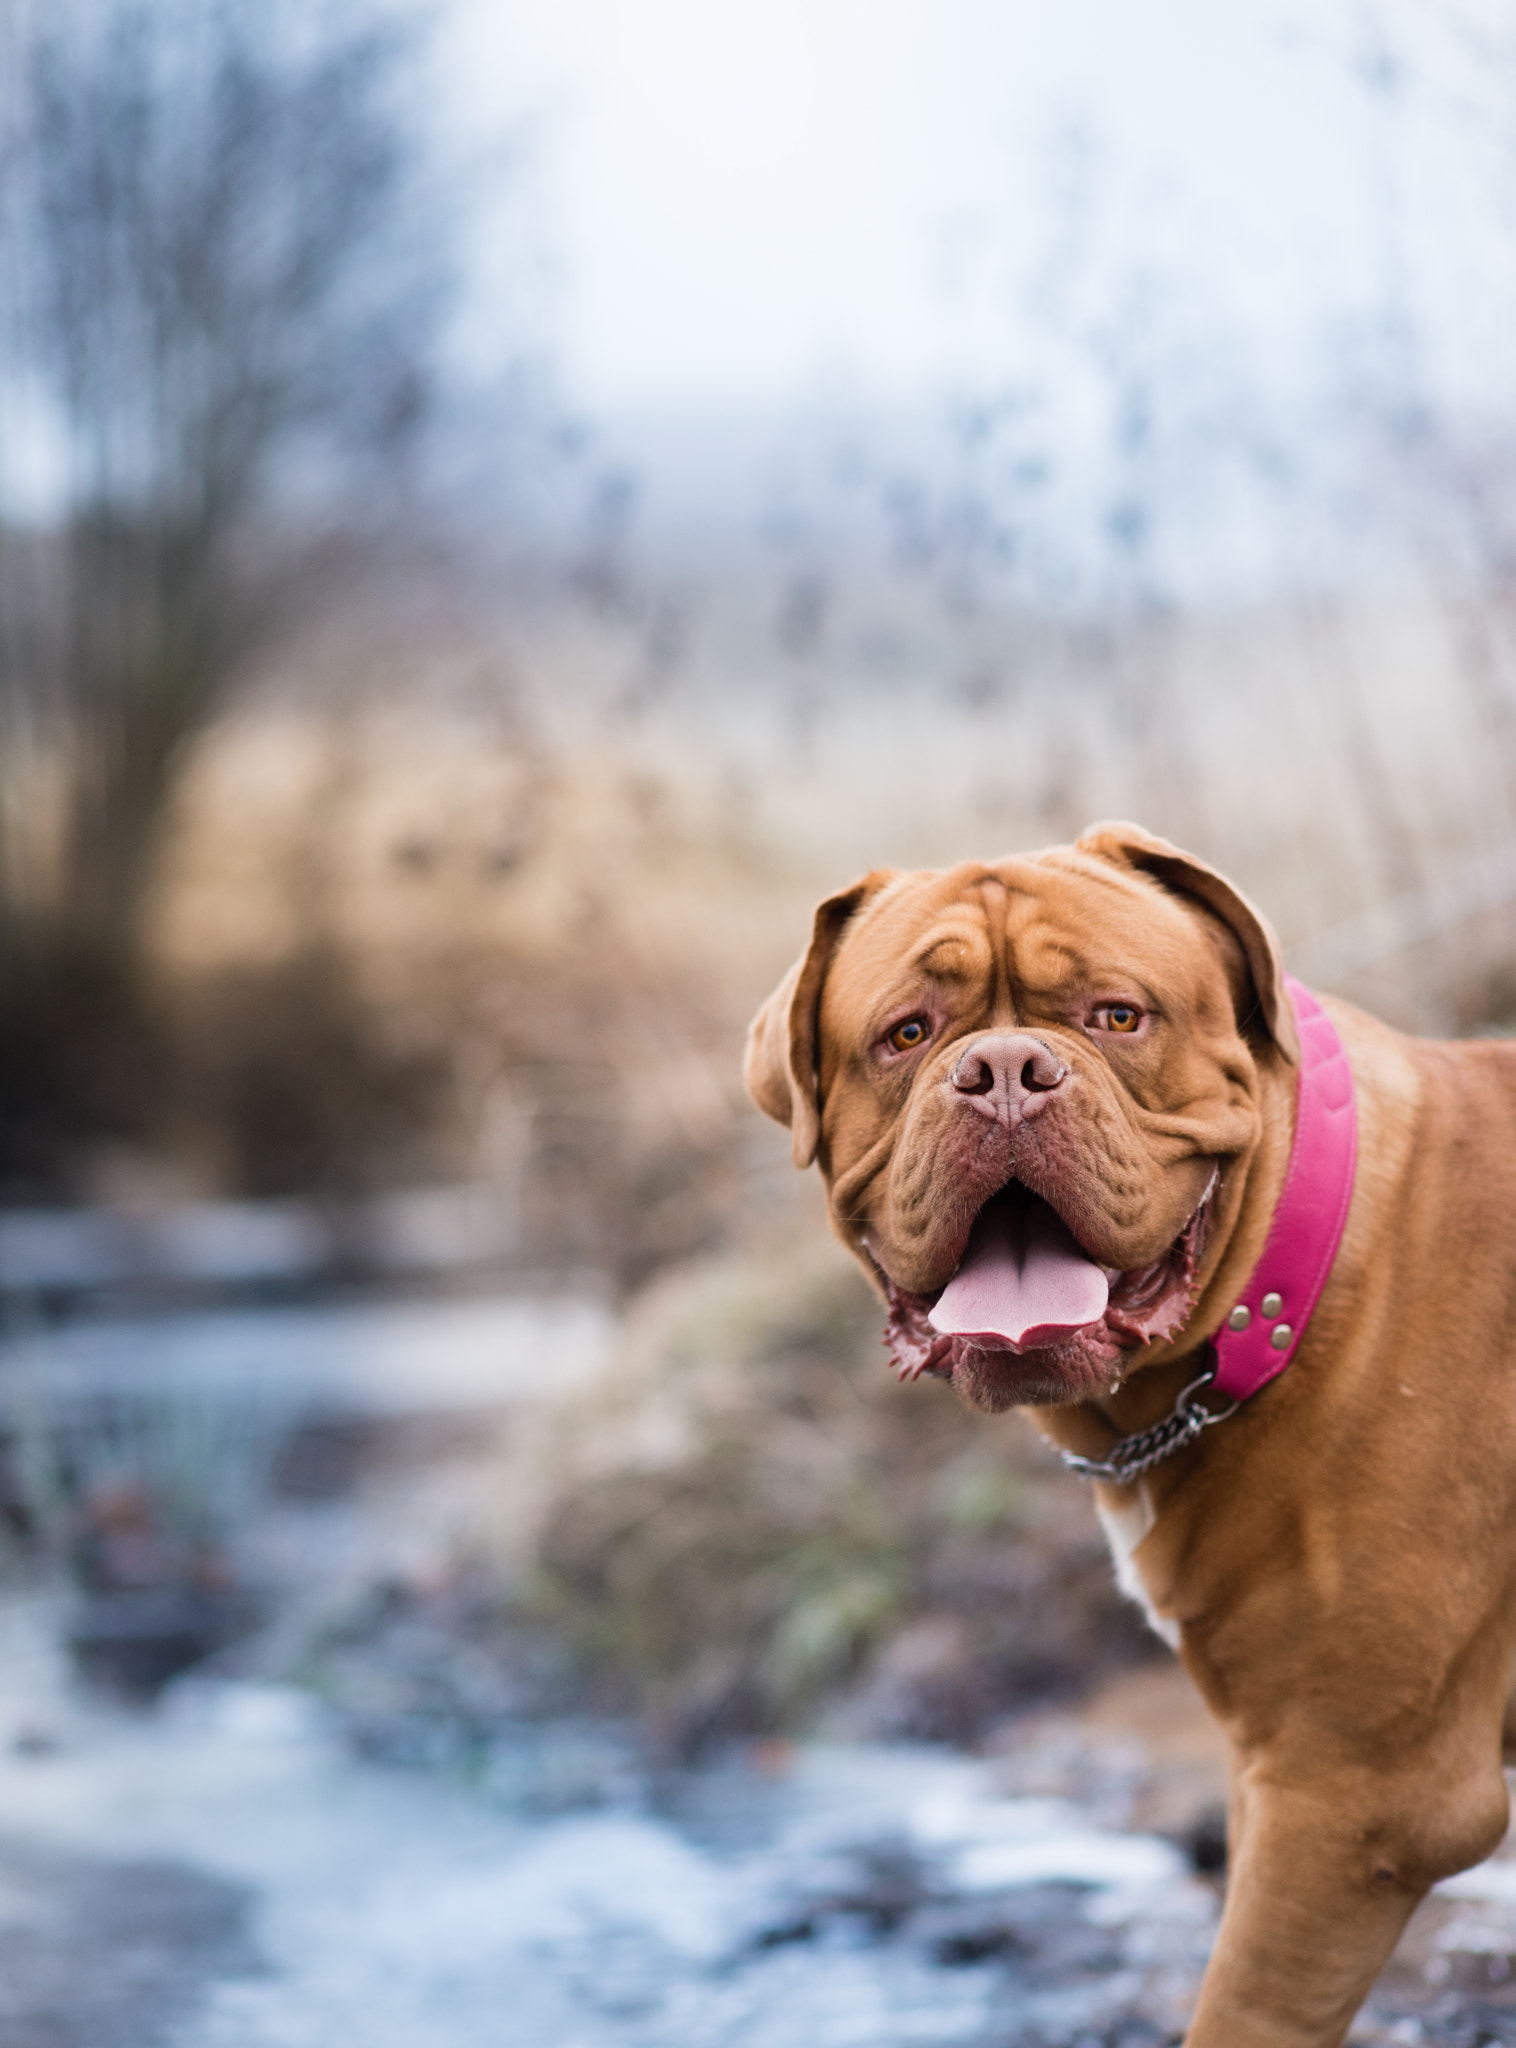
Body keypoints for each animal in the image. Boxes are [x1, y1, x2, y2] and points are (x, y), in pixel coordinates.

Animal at [741, 819, 1516, 2048]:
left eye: (1116, 1015)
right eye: (906, 1033)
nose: (1004, 1071)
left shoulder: (1352, 1798)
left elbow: (1241, 2007)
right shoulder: (1272, 1771)